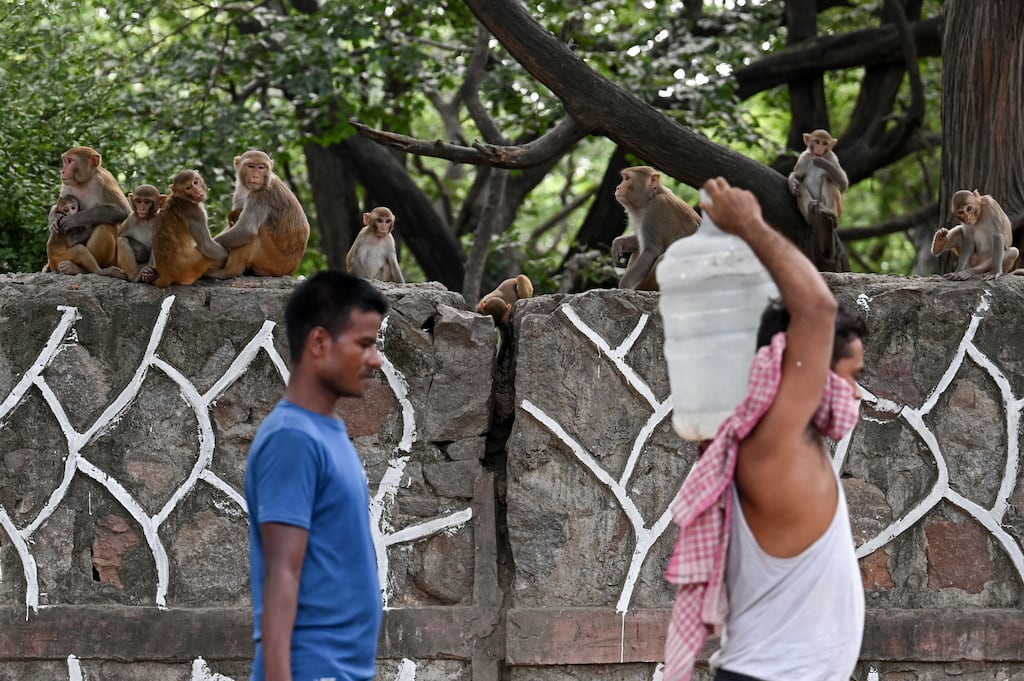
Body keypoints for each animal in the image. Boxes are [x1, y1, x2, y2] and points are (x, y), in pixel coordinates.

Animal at [46, 146, 130, 275]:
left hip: (113, 261)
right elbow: (57, 206)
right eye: (65, 161)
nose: (63, 171)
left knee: (105, 226)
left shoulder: (105, 180)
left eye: (70, 161)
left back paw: (83, 269)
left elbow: (123, 210)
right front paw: (54, 218)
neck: (85, 181)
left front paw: (73, 220)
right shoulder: (67, 185)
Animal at [209, 150, 310, 278]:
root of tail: (291, 271)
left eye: (261, 167)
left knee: (253, 233)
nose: (256, 176)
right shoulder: (240, 191)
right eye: (251, 166)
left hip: (271, 261)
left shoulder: (260, 195)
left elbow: (245, 230)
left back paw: (228, 272)